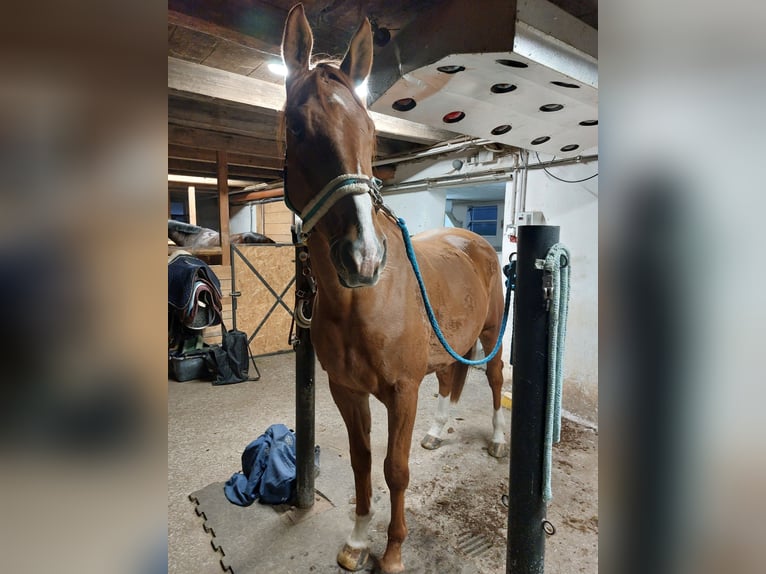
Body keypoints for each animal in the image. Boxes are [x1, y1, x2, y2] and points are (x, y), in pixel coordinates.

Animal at [281, 5, 507, 572]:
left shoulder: (403, 392)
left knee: (495, 377)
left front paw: (393, 552)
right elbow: (363, 464)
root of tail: (474, 241)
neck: (362, 303)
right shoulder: (346, 391)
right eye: (296, 126)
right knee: (451, 378)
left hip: (491, 332)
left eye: (370, 130)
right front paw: (359, 541)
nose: (364, 257)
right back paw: (438, 431)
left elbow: (394, 470)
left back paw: (496, 440)